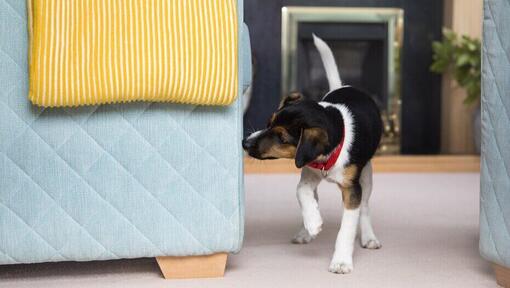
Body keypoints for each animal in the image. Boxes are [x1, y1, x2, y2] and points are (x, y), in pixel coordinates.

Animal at [243, 35, 382, 274]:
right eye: (268, 123)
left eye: (281, 137)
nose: (245, 142)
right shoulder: (308, 172)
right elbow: (302, 193)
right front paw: (313, 222)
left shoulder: (351, 189)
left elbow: (347, 227)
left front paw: (341, 261)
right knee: (314, 198)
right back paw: (305, 230)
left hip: (366, 175)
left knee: (364, 207)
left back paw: (368, 237)